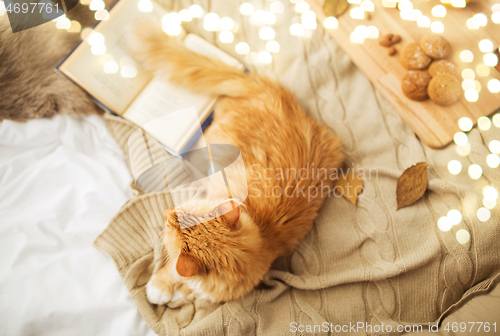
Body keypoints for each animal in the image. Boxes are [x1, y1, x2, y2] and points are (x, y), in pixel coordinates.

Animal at [131, 21, 344, 304]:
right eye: (178, 215)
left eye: (171, 224)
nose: (167, 212)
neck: (263, 239)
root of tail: (269, 89)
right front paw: (164, 288)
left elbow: (181, 279)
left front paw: (167, 290)